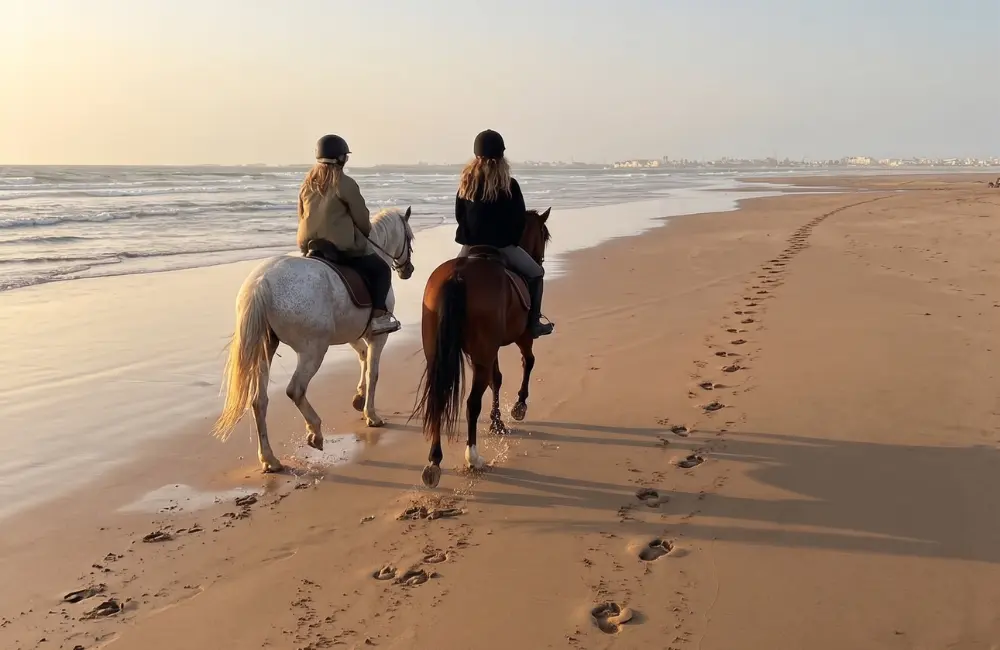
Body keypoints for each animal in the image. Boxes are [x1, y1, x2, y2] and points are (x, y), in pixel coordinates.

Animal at [212, 207, 415, 473]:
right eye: (409, 237)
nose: (408, 270)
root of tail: (261, 283)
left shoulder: (353, 334)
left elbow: (362, 357)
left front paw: (359, 398)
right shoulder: (376, 337)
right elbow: (373, 372)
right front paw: (371, 414)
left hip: (266, 348)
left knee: (259, 400)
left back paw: (269, 459)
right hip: (313, 350)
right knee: (295, 390)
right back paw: (315, 432)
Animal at [411, 207, 551, 488]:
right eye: (544, 235)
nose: (540, 261)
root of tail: (458, 275)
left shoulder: (491, 349)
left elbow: (497, 379)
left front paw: (497, 422)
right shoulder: (521, 337)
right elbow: (528, 362)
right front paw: (519, 407)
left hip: (441, 354)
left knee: (440, 397)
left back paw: (434, 461)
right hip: (484, 353)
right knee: (472, 403)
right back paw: (472, 456)